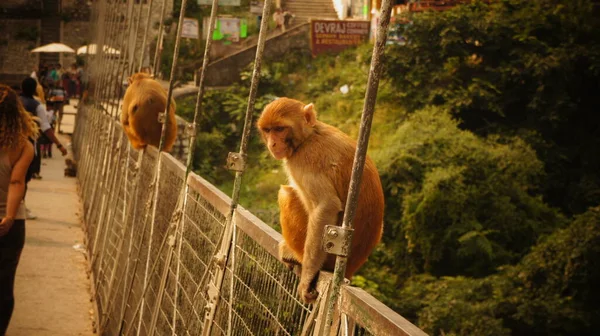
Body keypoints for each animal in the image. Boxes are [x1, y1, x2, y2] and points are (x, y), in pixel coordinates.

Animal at [256, 98, 384, 304]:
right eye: (268, 130)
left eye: (280, 129)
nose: (272, 143)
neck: (310, 135)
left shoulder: (304, 159)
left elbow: (326, 206)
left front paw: (307, 277)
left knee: (286, 194)